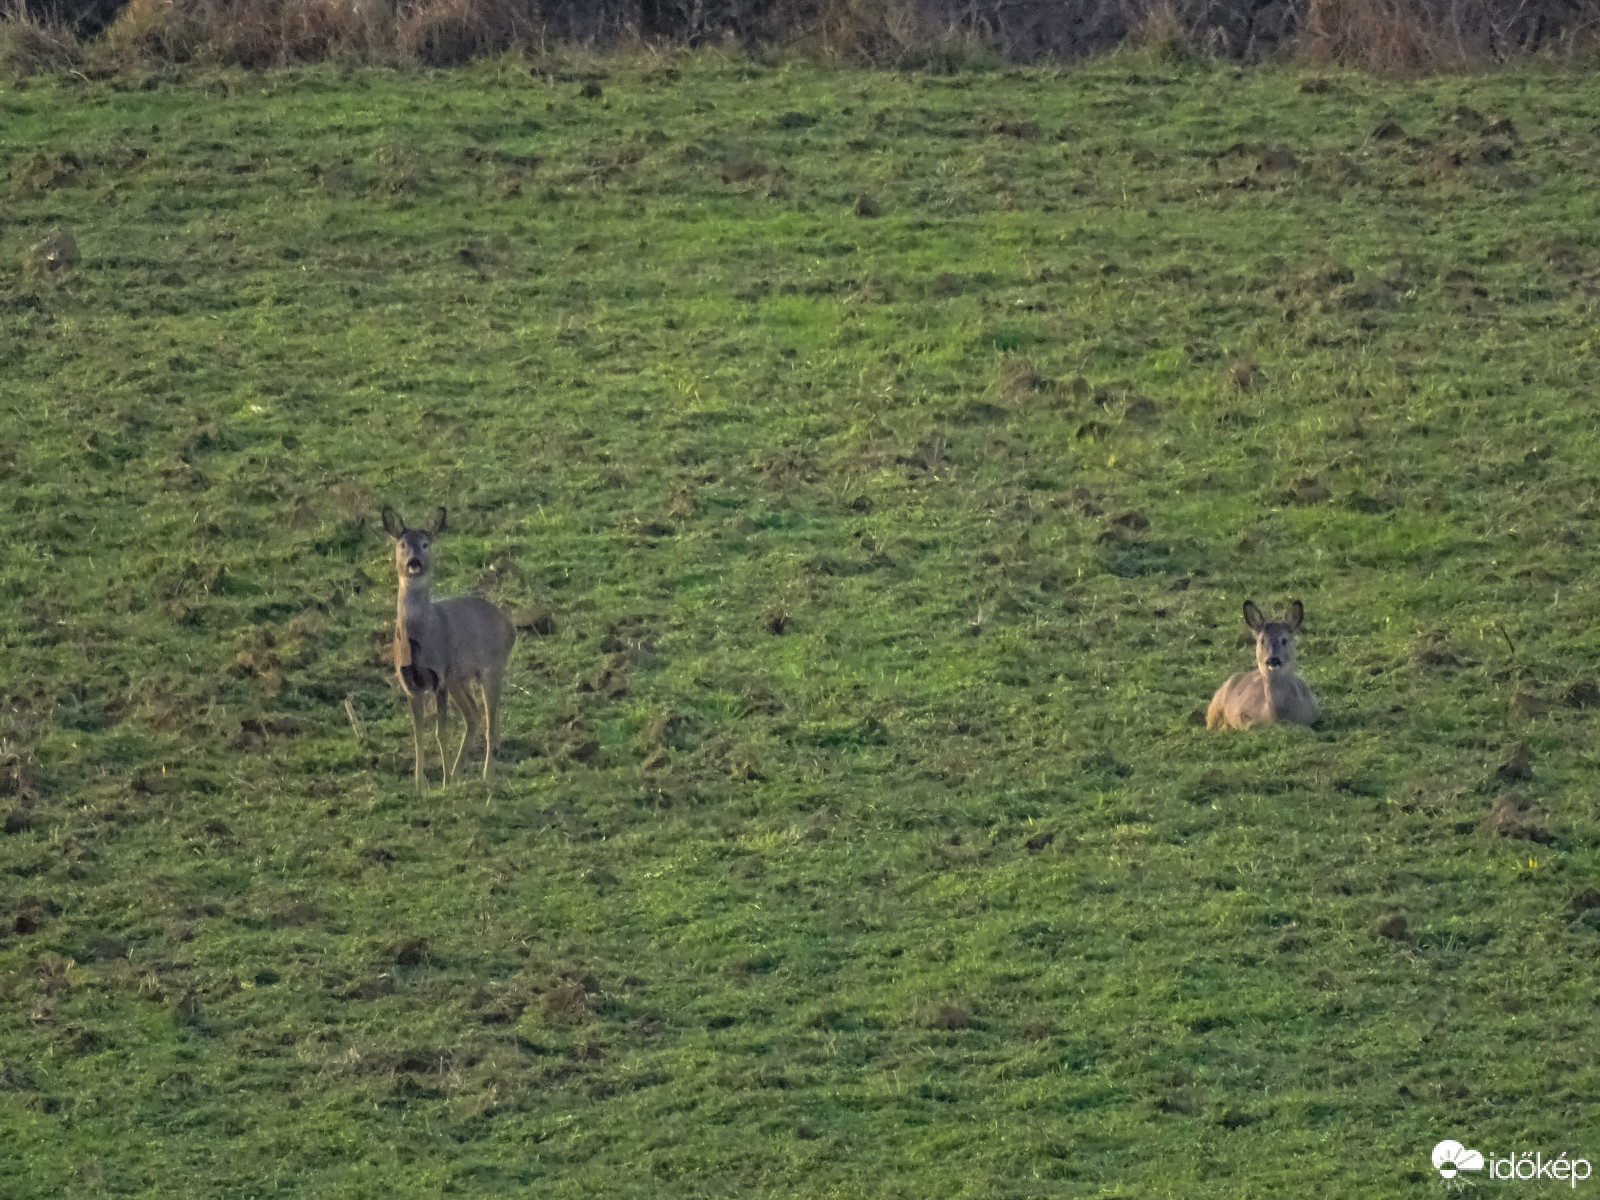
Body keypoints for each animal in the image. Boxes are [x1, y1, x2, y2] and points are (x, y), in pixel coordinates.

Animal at [380, 505, 512, 790]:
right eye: (402, 544)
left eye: (426, 544)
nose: (414, 562)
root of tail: (510, 625)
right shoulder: (410, 682)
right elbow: (418, 734)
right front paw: (420, 784)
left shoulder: (439, 675)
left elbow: (441, 732)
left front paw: (442, 781)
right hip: (458, 678)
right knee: (473, 716)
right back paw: (457, 771)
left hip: (492, 667)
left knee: (491, 723)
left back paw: (485, 775)